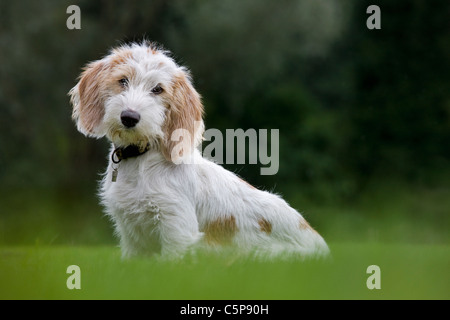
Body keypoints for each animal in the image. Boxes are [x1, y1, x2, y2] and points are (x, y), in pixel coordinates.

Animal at [68, 41, 328, 258]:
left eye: (158, 89)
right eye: (123, 80)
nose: (129, 117)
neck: (141, 160)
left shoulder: (177, 231)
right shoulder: (133, 239)